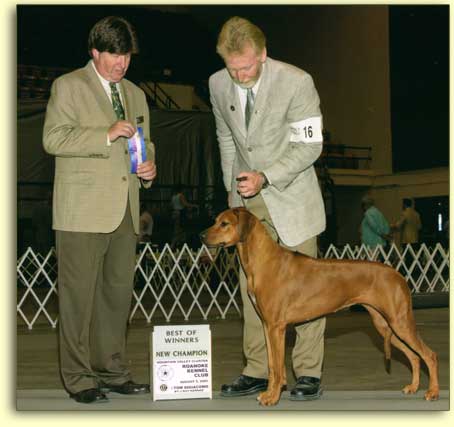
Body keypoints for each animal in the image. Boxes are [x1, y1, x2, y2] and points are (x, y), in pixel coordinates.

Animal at [200, 209, 438, 406]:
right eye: (215, 221)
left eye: (224, 223)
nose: (201, 236)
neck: (263, 260)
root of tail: (398, 274)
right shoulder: (268, 326)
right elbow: (271, 365)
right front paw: (269, 393)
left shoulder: (277, 327)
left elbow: (277, 365)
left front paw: (273, 397)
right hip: (384, 324)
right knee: (414, 356)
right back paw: (413, 387)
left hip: (399, 321)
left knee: (429, 354)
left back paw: (433, 392)